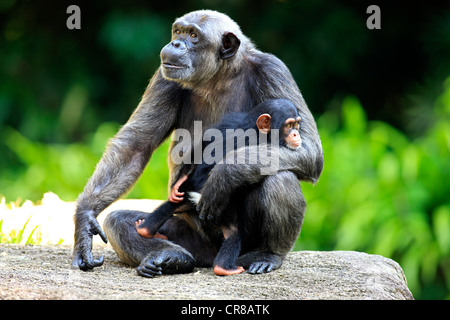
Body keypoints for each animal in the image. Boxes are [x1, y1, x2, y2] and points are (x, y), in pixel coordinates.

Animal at [134, 99, 302, 276]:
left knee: (171, 205)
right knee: (233, 234)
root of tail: (197, 197)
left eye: (297, 124)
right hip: (222, 214)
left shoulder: (227, 122)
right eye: (289, 125)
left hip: (190, 200)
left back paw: (144, 228)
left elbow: (202, 144)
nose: (296, 134)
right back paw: (226, 267)